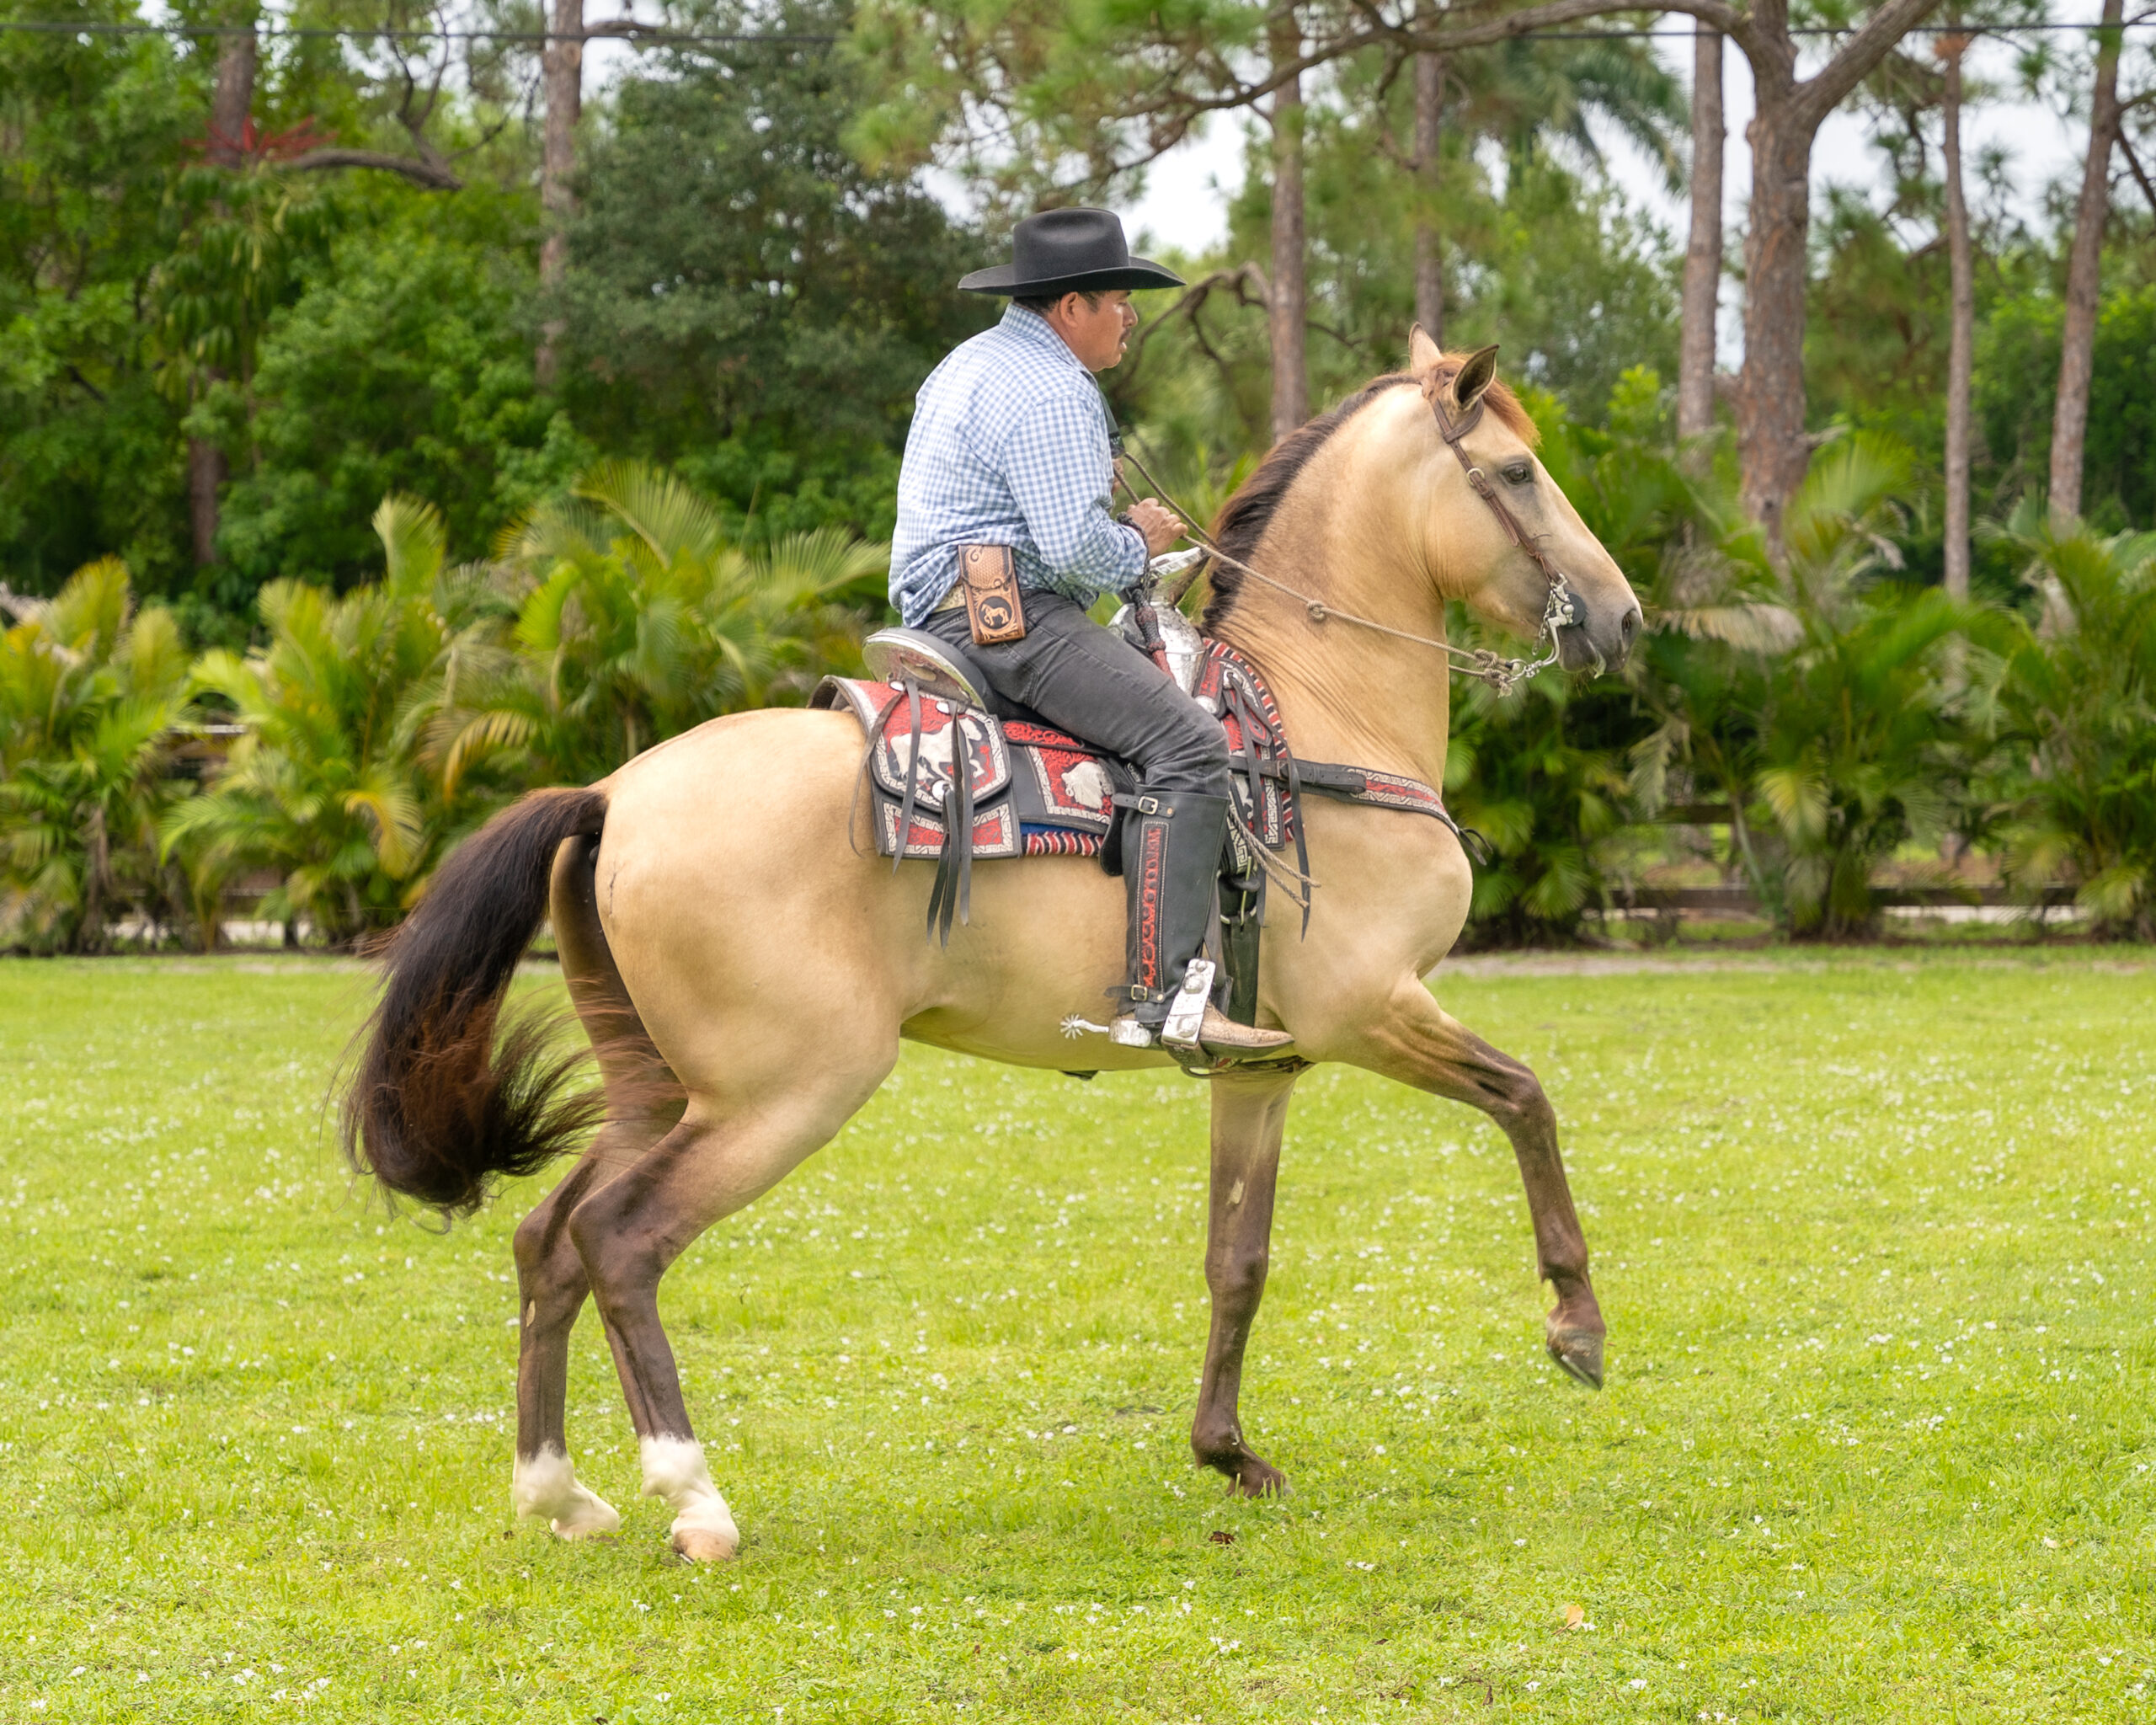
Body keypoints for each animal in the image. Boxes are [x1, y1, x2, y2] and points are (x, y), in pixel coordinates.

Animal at [343, 331, 1642, 1562]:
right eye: (1517, 471)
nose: (1622, 616)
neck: (1311, 719)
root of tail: (613, 791)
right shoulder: (1372, 1007)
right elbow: (1525, 1098)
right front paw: (1575, 1324)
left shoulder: (1262, 1066)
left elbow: (1238, 1260)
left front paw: (1227, 1452)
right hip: (784, 1094)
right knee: (619, 1241)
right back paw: (694, 1498)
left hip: (655, 1087)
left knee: (546, 1240)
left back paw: (558, 1493)